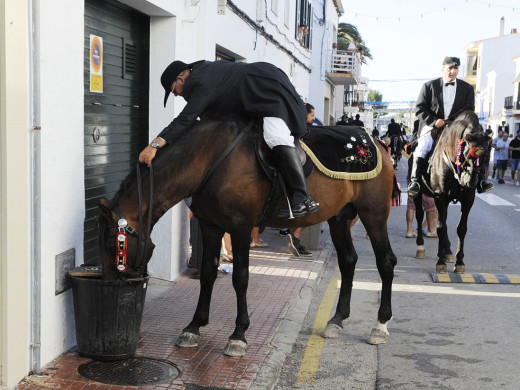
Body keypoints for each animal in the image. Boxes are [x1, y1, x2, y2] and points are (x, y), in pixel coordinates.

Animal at [98, 119, 398, 356]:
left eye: (114, 246)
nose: (110, 284)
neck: (210, 161)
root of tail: (375, 142)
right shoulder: (210, 226)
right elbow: (208, 273)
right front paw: (194, 326)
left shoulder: (240, 228)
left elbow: (240, 278)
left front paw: (238, 335)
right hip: (339, 218)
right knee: (348, 261)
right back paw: (337, 320)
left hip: (374, 214)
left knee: (386, 262)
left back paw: (380, 326)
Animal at [410, 110, 492, 274]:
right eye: (466, 154)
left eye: (486, 157)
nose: (470, 183)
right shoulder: (440, 197)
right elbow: (441, 228)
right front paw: (440, 263)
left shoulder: (468, 199)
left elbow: (461, 229)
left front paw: (459, 262)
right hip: (420, 194)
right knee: (420, 215)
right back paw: (421, 247)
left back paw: (446, 252)